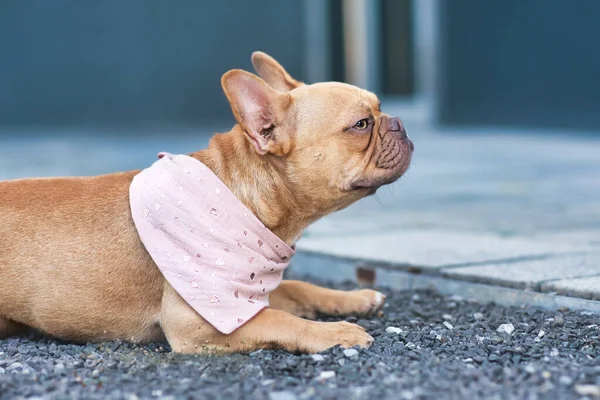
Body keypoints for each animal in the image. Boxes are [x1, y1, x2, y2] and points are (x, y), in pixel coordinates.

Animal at [0, 52, 412, 354]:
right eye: (361, 124)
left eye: (380, 106)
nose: (399, 122)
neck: (241, 196)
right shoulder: (202, 318)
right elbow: (282, 320)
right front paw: (338, 332)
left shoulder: (250, 291)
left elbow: (298, 287)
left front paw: (354, 298)